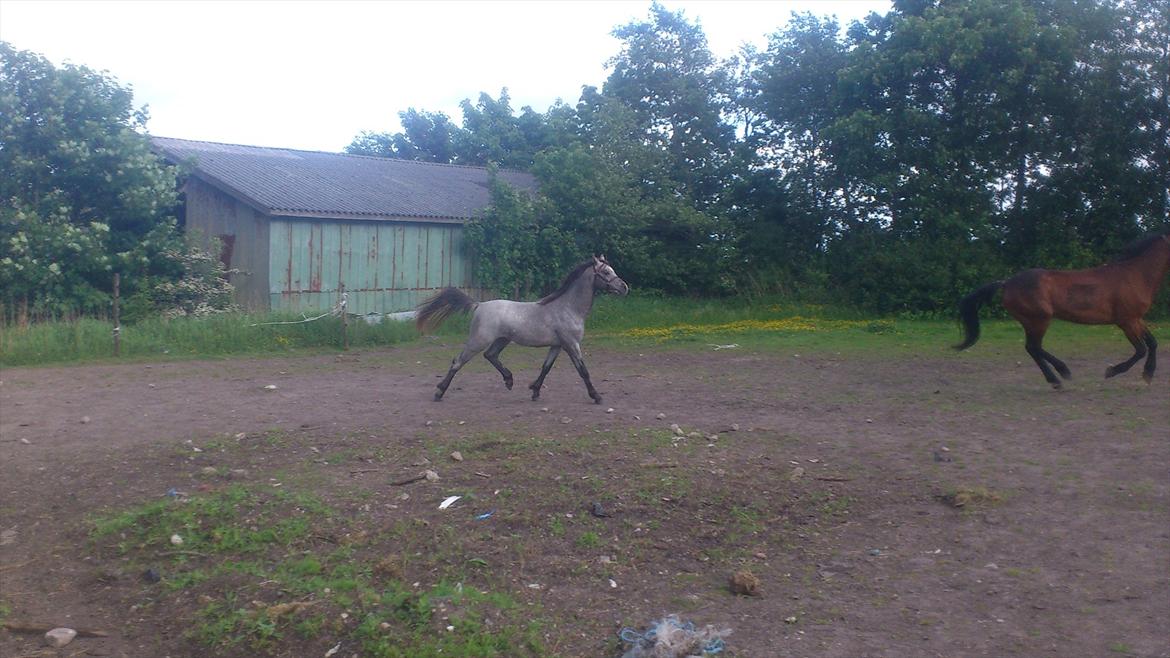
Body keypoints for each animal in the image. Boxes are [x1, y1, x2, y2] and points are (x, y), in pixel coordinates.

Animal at [416, 255, 630, 403]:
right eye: (607, 272)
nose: (625, 288)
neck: (568, 307)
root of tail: (479, 305)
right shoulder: (572, 344)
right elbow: (583, 371)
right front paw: (596, 396)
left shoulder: (557, 345)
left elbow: (546, 368)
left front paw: (535, 391)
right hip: (479, 340)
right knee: (458, 361)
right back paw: (439, 392)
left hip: (502, 340)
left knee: (490, 355)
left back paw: (509, 380)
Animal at [954, 231, 1170, 388]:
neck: (1135, 275)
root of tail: (1006, 283)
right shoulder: (1126, 321)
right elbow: (1141, 349)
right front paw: (1112, 372)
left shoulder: (1137, 319)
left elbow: (1152, 343)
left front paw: (1148, 375)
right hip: (1039, 319)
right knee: (1034, 347)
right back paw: (1061, 375)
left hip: (1031, 321)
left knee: (1033, 348)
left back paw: (1058, 376)